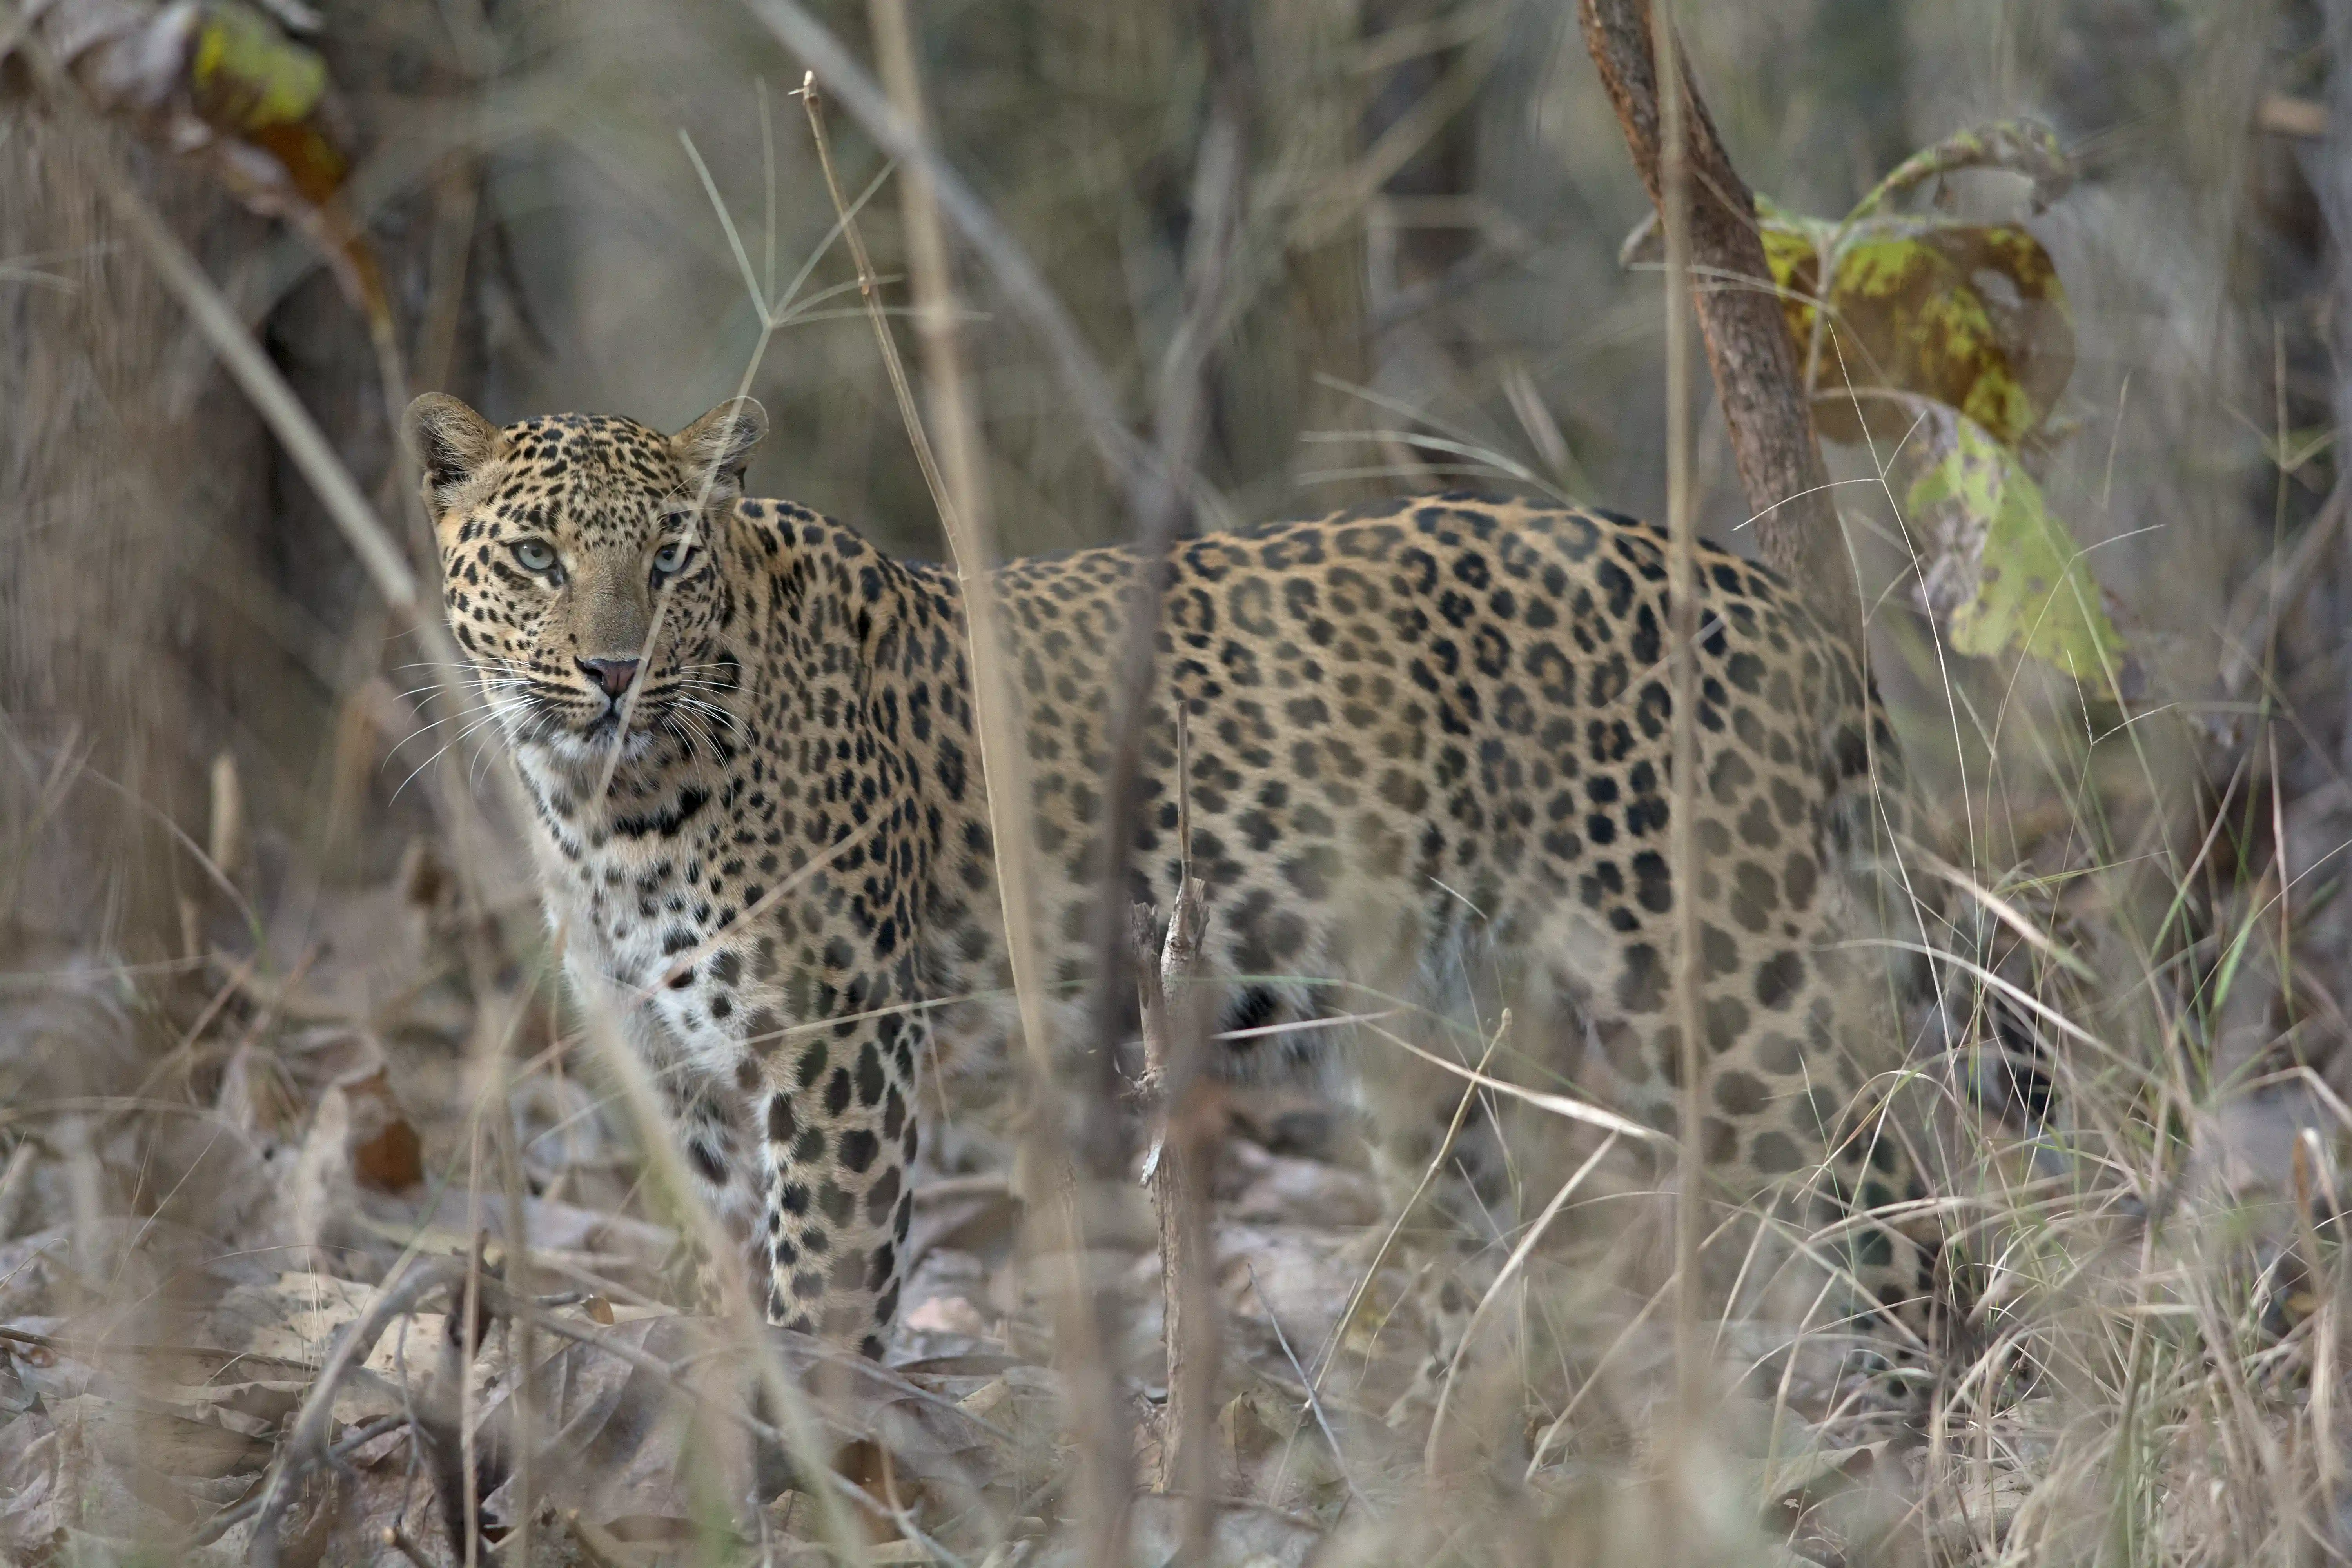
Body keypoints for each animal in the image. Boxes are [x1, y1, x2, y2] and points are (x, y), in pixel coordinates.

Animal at [404, 390, 1950, 1377]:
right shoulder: (679, 1076)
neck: (603, 804)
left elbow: (824, 1290)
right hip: (1435, 1044)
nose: (612, 670)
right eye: (537, 555)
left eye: (669, 560)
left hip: (1718, 979)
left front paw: (823, 1463)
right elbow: (740, 1274)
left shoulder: (842, 1050)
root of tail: (1771, 597)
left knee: (1893, 1194)